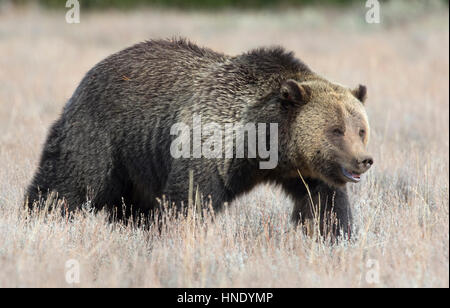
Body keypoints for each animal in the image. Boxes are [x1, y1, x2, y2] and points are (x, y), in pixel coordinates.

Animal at [27, 38, 372, 238]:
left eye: (360, 129)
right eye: (336, 130)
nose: (363, 160)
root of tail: (91, 72)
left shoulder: (306, 172)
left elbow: (324, 205)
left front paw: (334, 235)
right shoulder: (210, 143)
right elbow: (190, 199)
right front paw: (179, 233)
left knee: (132, 207)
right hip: (101, 132)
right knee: (69, 182)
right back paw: (40, 217)